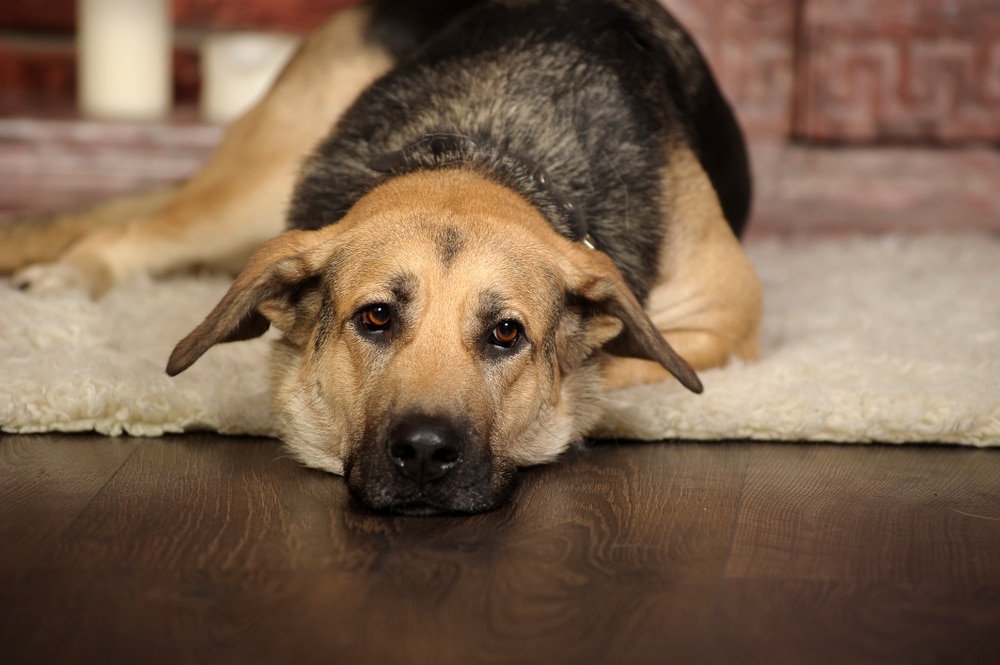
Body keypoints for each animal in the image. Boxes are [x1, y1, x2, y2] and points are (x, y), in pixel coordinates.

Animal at [3, 0, 760, 512]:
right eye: (374, 318)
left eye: (506, 333)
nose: (424, 452)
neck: (476, 153)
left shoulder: (723, 325)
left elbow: (608, 373)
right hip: (258, 183)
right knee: (128, 234)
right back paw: (68, 276)